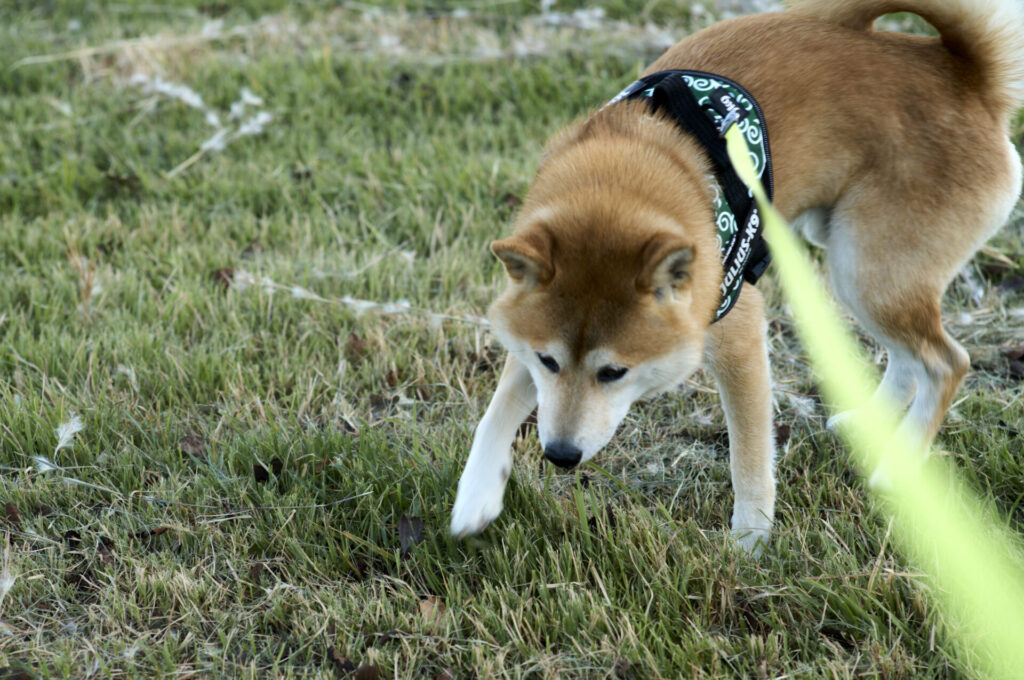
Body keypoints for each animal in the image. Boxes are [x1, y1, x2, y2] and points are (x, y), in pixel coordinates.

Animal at [450, 0, 1024, 553]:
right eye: (548, 361)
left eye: (614, 372)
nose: (561, 455)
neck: (627, 178)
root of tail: (969, 78)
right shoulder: (527, 338)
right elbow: (495, 413)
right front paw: (475, 498)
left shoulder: (740, 329)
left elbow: (748, 453)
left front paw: (750, 539)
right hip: (852, 264)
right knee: (909, 359)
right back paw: (867, 425)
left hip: (870, 270)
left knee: (947, 362)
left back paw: (895, 466)